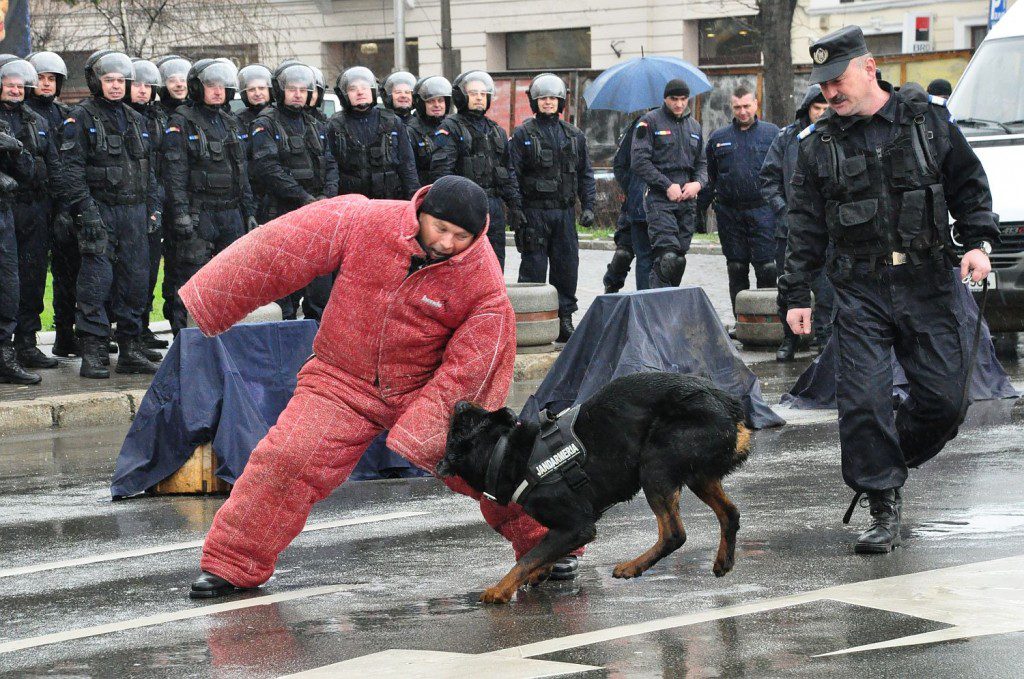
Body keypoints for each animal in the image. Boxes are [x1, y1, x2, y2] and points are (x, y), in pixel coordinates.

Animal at [436, 372, 749, 606]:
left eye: (460, 426)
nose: (459, 402)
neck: (505, 452)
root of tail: (728, 404)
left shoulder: (577, 526)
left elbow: (528, 557)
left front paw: (500, 589)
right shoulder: (565, 530)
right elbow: (542, 552)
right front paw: (541, 571)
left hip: (655, 465)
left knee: (674, 533)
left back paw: (633, 566)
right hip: (697, 474)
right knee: (730, 513)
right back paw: (723, 560)